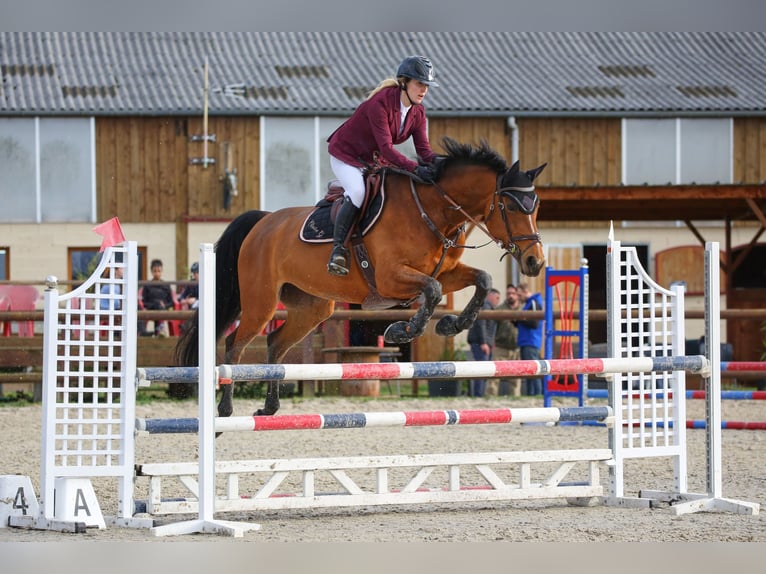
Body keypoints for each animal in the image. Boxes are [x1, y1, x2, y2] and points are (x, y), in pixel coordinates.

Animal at [176, 140, 544, 418]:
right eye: (511, 207)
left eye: (536, 206)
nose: (535, 262)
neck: (431, 209)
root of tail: (263, 222)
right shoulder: (391, 278)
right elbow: (433, 290)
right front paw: (401, 330)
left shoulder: (445, 271)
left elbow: (481, 279)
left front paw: (452, 324)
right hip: (261, 302)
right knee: (234, 345)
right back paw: (225, 410)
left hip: (312, 307)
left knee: (276, 343)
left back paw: (269, 408)